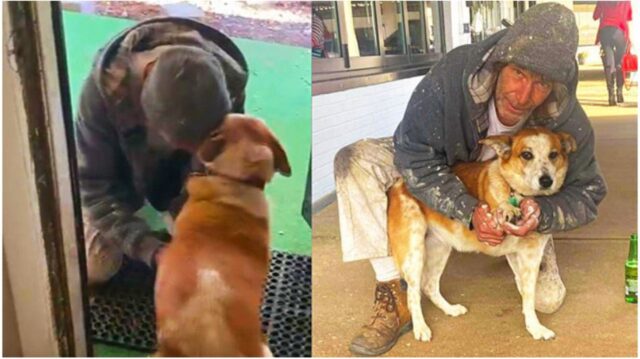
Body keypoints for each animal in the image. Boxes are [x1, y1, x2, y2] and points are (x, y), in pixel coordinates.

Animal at [388, 127, 576, 344]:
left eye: (553, 154)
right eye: (526, 155)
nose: (546, 181)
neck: (518, 192)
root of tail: (399, 184)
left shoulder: (529, 256)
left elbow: (527, 294)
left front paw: (534, 327)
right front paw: (506, 209)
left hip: (439, 247)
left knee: (429, 285)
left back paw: (450, 309)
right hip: (414, 252)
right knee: (413, 293)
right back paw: (420, 327)